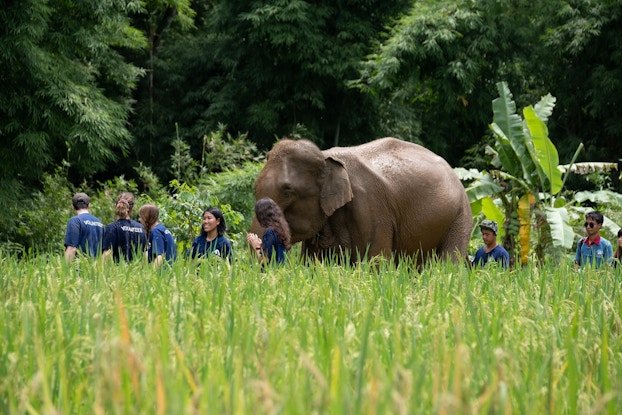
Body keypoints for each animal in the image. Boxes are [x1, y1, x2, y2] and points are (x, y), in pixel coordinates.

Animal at [249, 138, 472, 264]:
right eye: (255, 185)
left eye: (288, 192)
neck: (325, 155)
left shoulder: (369, 207)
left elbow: (375, 261)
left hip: (461, 214)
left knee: (450, 261)